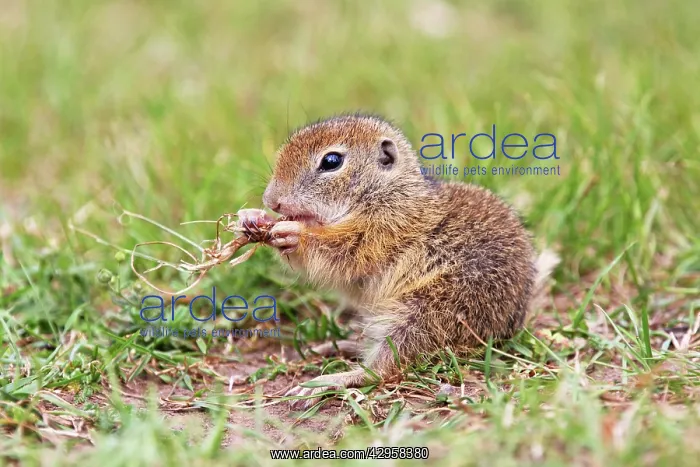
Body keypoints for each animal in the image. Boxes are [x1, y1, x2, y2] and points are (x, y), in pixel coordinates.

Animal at [237, 114, 558, 408]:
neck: (385, 191)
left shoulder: (386, 227)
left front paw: (294, 233)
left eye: (331, 161)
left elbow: (343, 252)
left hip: (427, 315)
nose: (272, 199)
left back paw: (328, 380)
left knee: (381, 369)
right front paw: (253, 217)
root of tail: (511, 327)